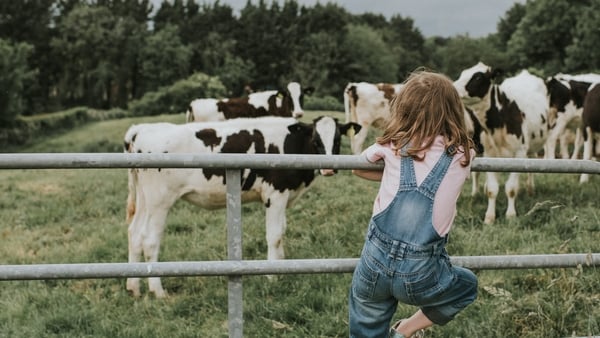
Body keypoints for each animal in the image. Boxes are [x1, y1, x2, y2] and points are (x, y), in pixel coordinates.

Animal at [123, 115, 360, 298]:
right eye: (315, 138)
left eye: (337, 138)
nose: (329, 169)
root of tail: (141, 128)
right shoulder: (275, 195)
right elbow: (274, 235)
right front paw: (271, 276)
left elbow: (282, 232)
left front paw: (282, 266)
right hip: (159, 201)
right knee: (149, 240)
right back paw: (158, 291)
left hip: (144, 199)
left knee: (134, 234)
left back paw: (134, 287)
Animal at [454, 62, 548, 224]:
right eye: (462, 73)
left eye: (478, 77)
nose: (453, 86)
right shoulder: (489, 154)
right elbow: (492, 189)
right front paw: (490, 217)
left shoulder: (519, 154)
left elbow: (511, 188)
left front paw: (510, 215)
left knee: (532, 164)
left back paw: (530, 189)